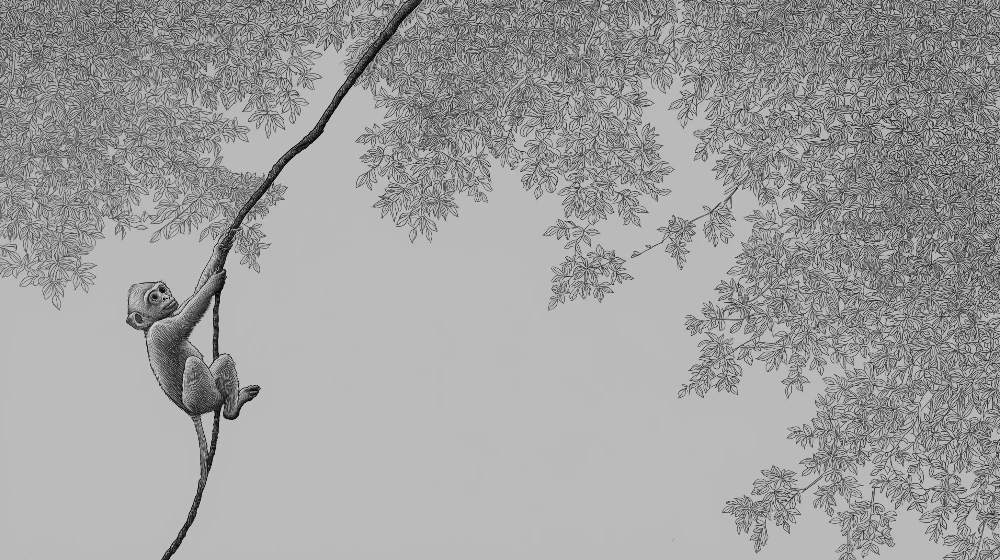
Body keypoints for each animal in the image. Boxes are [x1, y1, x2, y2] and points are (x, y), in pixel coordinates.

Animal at [126, 245, 260, 478]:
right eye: (154, 297)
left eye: (162, 290)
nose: (166, 297)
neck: (149, 327)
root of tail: (191, 412)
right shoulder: (162, 330)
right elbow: (188, 316)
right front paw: (214, 283)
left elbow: (191, 298)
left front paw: (220, 248)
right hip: (203, 398)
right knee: (205, 363)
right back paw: (231, 410)